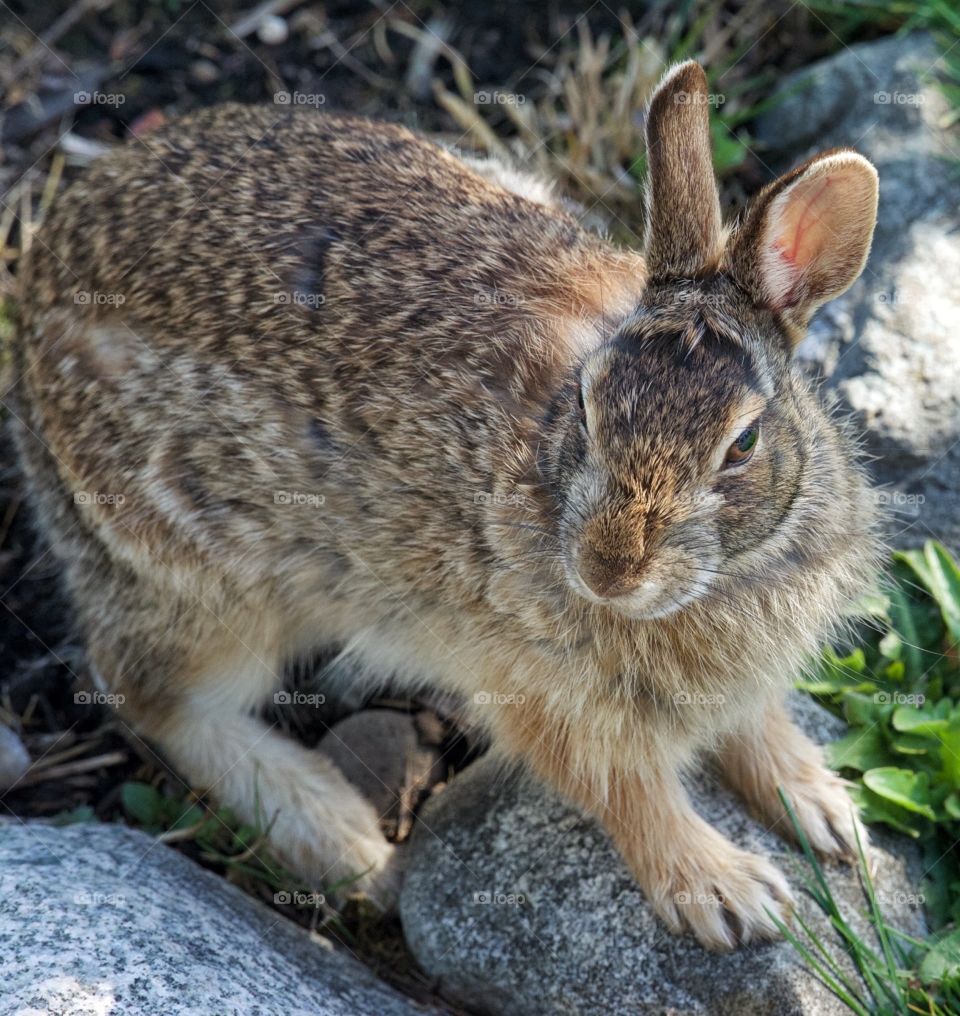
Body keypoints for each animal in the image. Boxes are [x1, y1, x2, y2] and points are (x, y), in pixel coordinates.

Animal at [8, 59, 881, 950]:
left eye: (743, 444)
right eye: (590, 408)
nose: (609, 571)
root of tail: (37, 300)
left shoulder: (746, 681)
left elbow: (758, 727)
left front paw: (827, 812)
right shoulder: (542, 692)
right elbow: (626, 793)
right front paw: (728, 893)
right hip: (202, 569)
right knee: (152, 695)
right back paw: (349, 843)